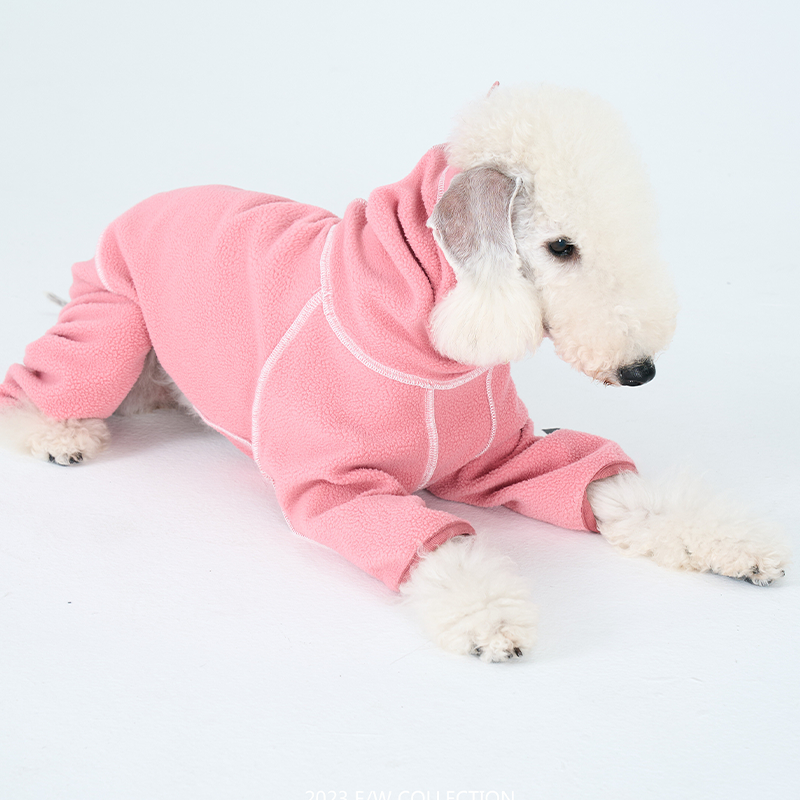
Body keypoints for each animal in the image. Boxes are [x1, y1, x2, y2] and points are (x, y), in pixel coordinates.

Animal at [0, 84, 790, 662]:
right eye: (561, 246)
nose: (640, 372)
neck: (436, 359)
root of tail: (143, 203)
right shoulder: (336, 486)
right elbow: (435, 543)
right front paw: (490, 618)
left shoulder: (508, 456)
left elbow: (606, 483)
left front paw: (740, 547)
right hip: (111, 320)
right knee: (41, 380)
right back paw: (59, 432)